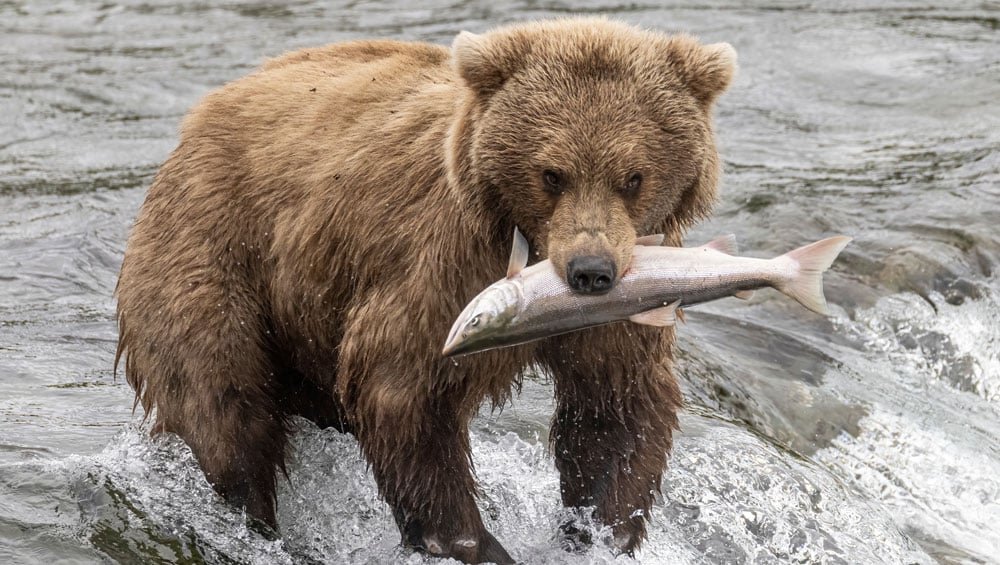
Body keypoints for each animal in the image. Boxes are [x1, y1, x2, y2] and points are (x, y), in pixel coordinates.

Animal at [115, 17, 735, 564]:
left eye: (633, 177)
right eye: (551, 173)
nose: (590, 271)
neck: (527, 243)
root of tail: (200, 116)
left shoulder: (634, 291)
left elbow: (613, 404)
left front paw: (600, 531)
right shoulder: (442, 262)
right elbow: (403, 387)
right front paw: (473, 542)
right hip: (215, 253)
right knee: (224, 402)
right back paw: (255, 520)